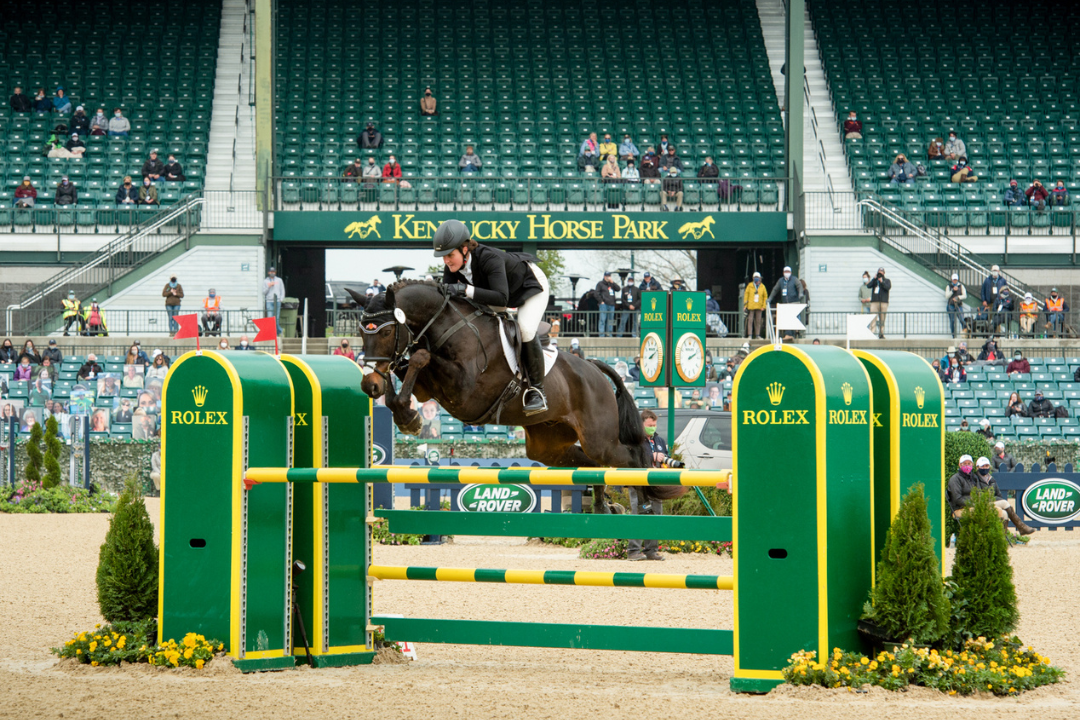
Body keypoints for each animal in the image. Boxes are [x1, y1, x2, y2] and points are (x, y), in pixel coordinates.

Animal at [347, 280, 648, 500]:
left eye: (386, 333)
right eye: (361, 333)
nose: (369, 385)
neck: (448, 327)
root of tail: (594, 367)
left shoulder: (466, 391)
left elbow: (421, 357)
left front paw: (409, 418)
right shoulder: (427, 388)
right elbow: (405, 369)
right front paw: (407, 416)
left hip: (600, 440)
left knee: (631, 460)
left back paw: (646, 507)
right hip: (548, 444)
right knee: (592, 466)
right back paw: (605, 506)